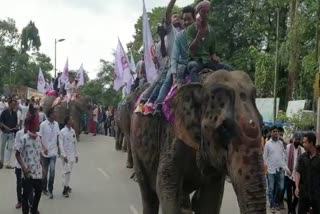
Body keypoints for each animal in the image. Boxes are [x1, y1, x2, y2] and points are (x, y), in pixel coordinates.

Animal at [130, 69, 264, 213]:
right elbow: (166, 186)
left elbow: (211, 198)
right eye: (224, 130)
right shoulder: (171, 135)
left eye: (263, 125)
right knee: (148, 194)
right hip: (135, 146)